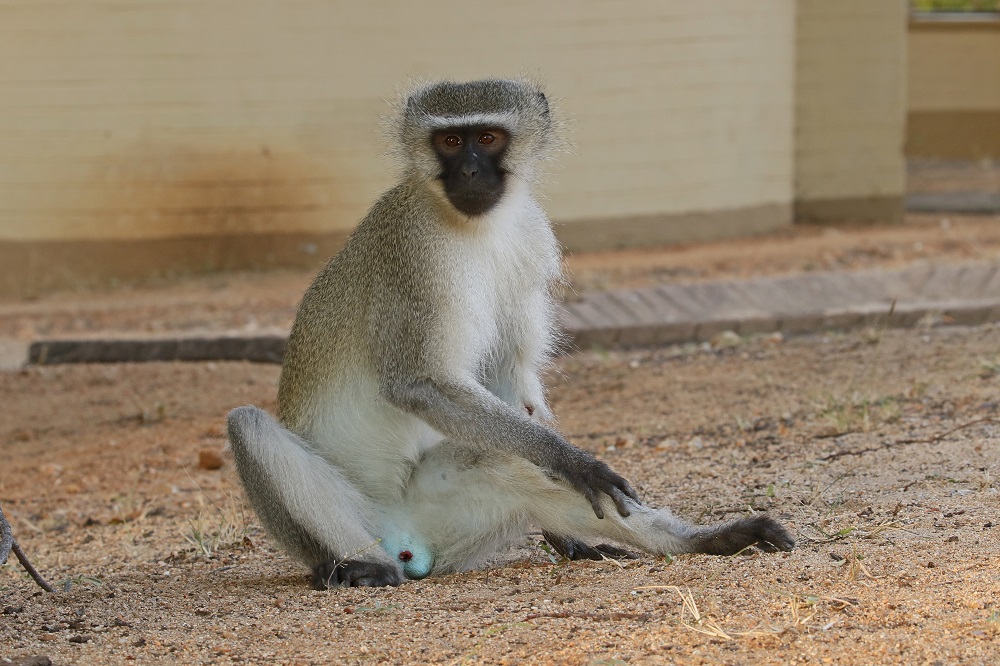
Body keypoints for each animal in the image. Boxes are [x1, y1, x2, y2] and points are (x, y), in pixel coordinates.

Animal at [229, 78, 796, 588]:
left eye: (488, 138)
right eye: (449, 141)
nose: (470, 170)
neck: (476, 226)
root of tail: (408, 544)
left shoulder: (529, 238)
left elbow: (510, 379)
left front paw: (572, 521)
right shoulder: (413, 257)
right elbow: (421, 383)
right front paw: (571, 458)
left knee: (502, 455)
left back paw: (698, 541)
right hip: (357, 521)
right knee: (249, 425)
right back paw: (358, 566)